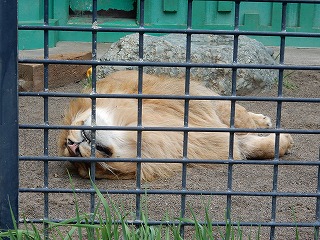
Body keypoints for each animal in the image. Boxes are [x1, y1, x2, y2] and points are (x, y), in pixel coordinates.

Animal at [58, 70, 294, 181]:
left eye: (68, 139)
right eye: (89, 167)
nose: (73, 147)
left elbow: (239, 118)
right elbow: (255, 147)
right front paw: (284, 142)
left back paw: (263, 120)